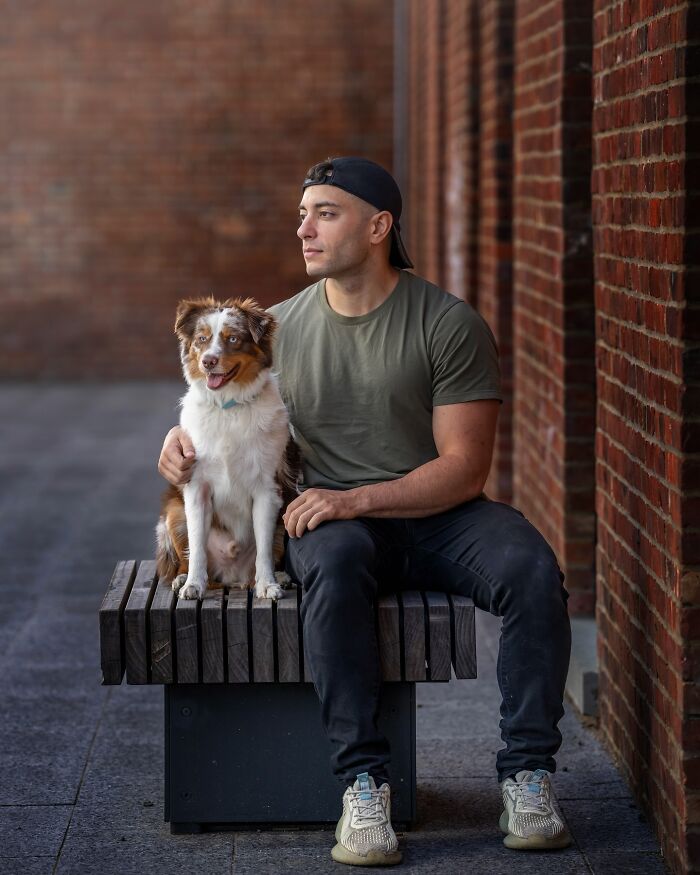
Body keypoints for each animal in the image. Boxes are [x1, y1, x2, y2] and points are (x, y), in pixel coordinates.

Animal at [156, 296, 296, 604]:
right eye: (202, 339)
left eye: (233, 338)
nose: (208, 361)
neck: (228, 406)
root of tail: (232, 576)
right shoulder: (196, 486)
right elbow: (196, 546)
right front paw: (193, 584)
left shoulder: (267, 488)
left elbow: (264, 549)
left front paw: (268, 584)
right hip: (174, 513)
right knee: (188, 556)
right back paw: (183, 578)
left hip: (286, 516)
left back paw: (277, 577)